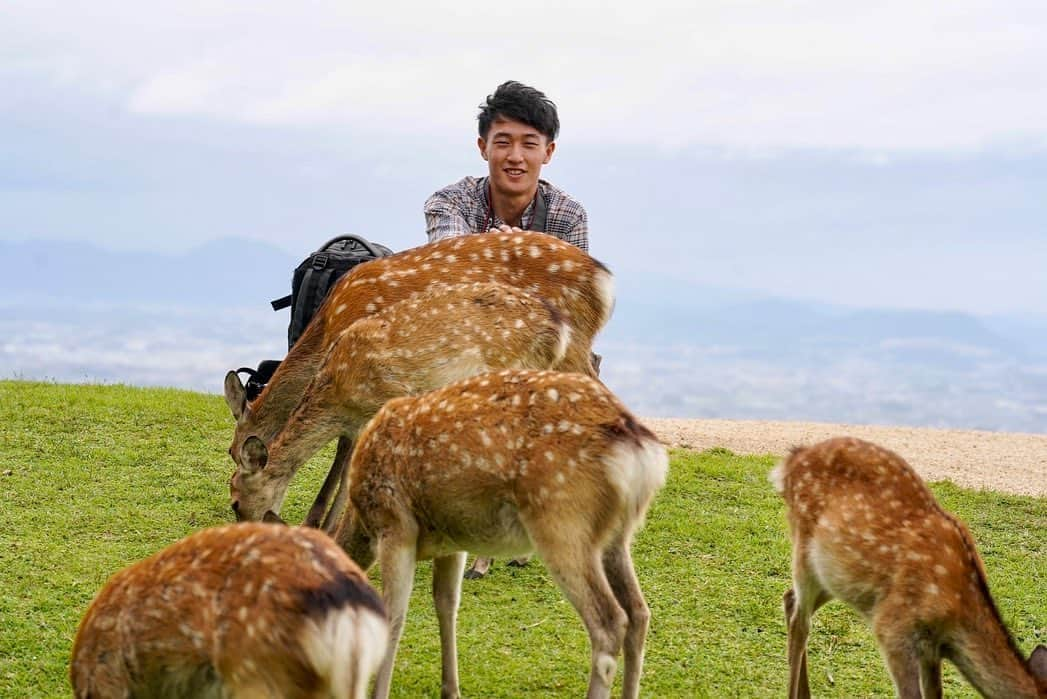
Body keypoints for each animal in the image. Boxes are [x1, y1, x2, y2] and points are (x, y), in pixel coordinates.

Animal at [225, 280, 573, 527]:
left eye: (235, 502)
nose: (251, 528)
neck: (339, 395)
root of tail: (560, 329)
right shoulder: (357, 424)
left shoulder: (390, 399)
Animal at [244, 368, 665, 694]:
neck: (362, 522)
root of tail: (642, 453)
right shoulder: (451, 541)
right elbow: (447, 606)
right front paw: (451, 689)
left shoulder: (396, 527)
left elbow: (393, 614)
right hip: (615, 537)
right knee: (639, 612)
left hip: (562, 523)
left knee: (609, 622)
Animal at [770, 437, 1047, 699]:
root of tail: (791, 461)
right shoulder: (893, 628)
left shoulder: (931, 649)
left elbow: (935, 693)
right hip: (804, 549)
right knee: (801, 622)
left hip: (836, 576)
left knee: (789, 598)